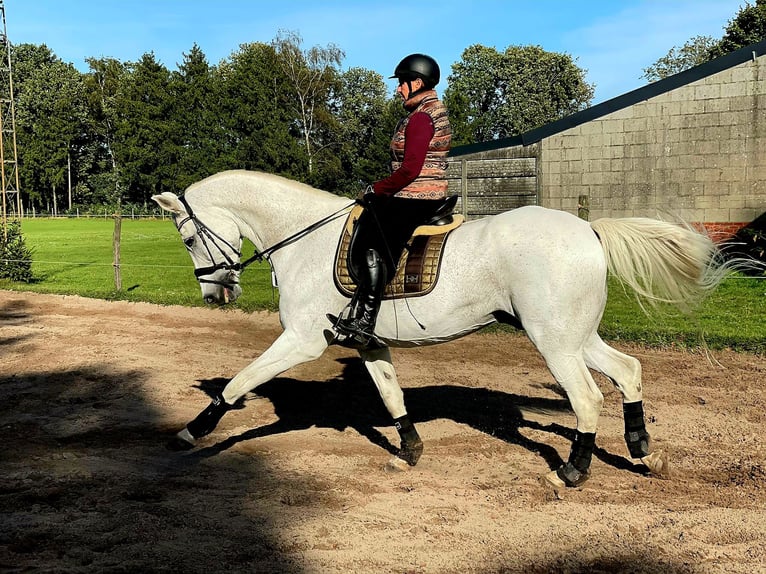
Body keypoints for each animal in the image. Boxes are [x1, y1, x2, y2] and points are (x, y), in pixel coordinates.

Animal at [153, 170, 728, 490]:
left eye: (187, 237)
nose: (215, 295)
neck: (305, 239)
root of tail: (586, 228)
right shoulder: (371, 344)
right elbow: (391, 396)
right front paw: (408, 452)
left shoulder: (300, 340)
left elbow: (239, 382)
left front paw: (193, 431)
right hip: (576, 337)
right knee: (628, 372)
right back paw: (642, 450)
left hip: (555, 341)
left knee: (587, 398)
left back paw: (572, 472)